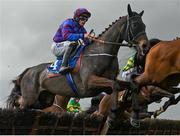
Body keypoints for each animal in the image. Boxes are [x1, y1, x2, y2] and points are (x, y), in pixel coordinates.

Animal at [7, 4, 148, 111]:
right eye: (135, 25)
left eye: (144, 26)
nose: (145, 46)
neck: (100, 52)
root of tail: (28, 70)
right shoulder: (89, 82)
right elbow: (115, 85)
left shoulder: (108, 81)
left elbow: (131, 85)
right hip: (30, 97)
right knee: (20, 103)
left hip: (45, 99)